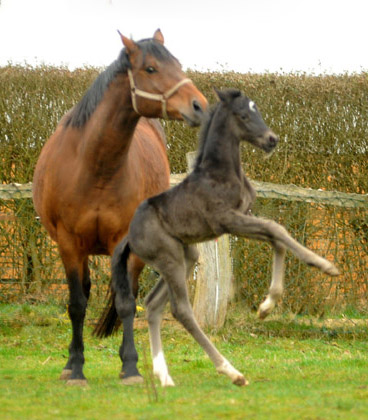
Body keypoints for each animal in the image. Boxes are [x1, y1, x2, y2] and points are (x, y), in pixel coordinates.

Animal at [32, 28, 207, 384]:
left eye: (178, 64)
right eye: (151, 68)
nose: (200, 105)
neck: (95, 167)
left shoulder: (124, 243)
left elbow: (126, 303)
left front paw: (130, 367)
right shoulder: (68, 244)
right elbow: (76, 304)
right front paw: (76, 368)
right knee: (84, 293)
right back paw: (70, 362)